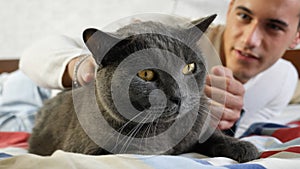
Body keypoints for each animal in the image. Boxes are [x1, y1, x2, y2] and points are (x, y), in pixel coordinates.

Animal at [29, 14, 262, 162]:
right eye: (146, 74)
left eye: (189, 67)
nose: (178, 96)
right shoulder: (92, 151)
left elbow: (209, 135)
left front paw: (244, 147)